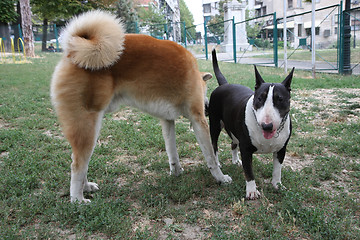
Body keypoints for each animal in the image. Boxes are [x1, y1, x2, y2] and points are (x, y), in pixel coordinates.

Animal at [50, 10, 231, 202]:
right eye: (206, 90)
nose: (207, 107)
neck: (194, 73)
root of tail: (72, 53)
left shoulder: (167, 120)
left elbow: (172, 151)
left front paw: (176, 171)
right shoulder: (198, 119)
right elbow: (211, 156)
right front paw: (220, 177)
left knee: (79, 160)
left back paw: (86, 187)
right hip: (88, 125)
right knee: (77, 164)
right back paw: (78, 199)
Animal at [210, 49, 294, 200]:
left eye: (280, 99)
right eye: (260, 98)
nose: (267, 126)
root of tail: (224, 84)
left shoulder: (281, 149)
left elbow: (277, 169)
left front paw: (277, 184)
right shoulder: (246, 149)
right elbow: (249, 171)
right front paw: (252, 191)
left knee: (233, 143)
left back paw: (235, 160)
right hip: (214, 124)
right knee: (214, 145)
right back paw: (217, 163)